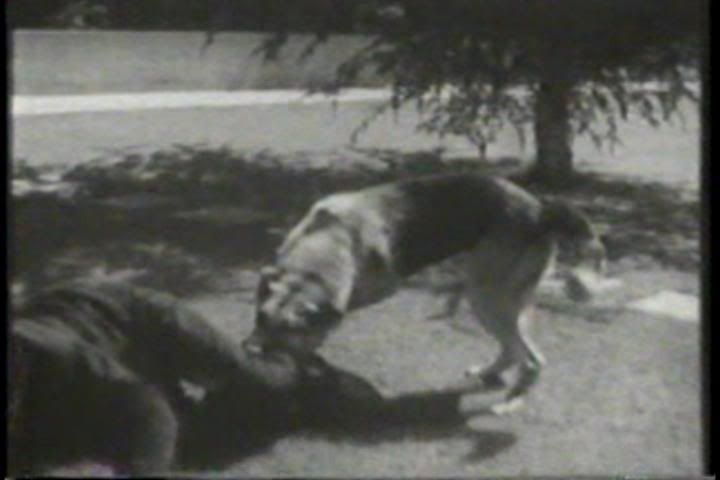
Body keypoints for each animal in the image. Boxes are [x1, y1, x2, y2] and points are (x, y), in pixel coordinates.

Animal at [245, 173, 606, 414]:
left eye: (289, 329)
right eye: (260, 317)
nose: (249, 351)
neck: (329, 238)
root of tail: (541, 208)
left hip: (486, 296)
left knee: (530, 359)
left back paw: (510, 403)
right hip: (498, 297)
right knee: (515, 349)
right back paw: (490, 374)